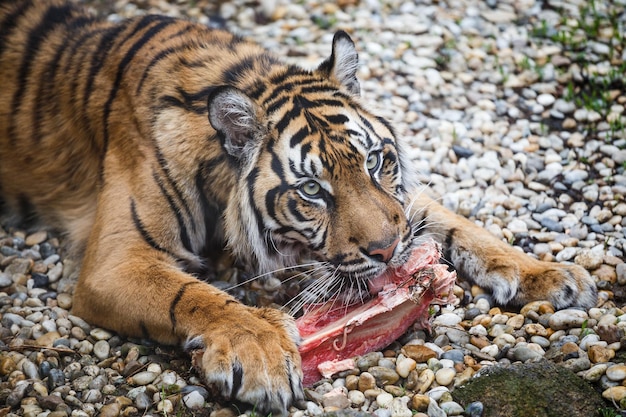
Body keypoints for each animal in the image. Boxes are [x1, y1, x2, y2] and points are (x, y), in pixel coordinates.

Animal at [0, 0, 596, 412]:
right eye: (312, 191)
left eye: (375, 161)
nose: (388, 253)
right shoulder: (117, 260)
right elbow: (194, 295)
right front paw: (260, 352)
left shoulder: (404, 207)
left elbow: (458, 224)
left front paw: (548, 274)